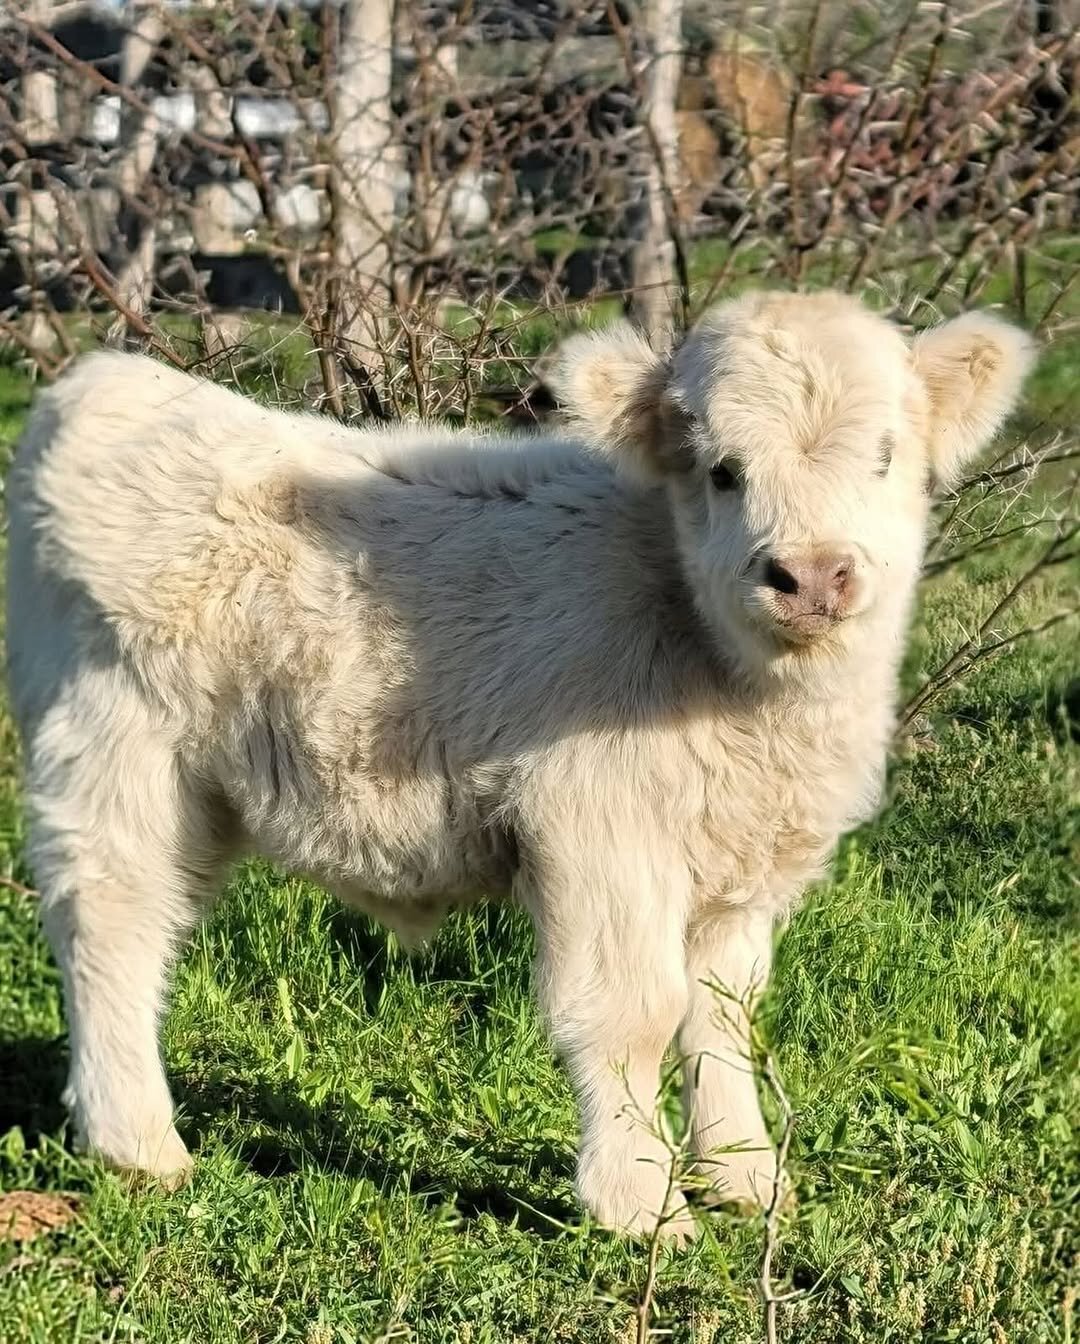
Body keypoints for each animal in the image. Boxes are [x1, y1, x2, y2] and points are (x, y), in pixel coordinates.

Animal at [5, 289, 1033, 1238]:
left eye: (886, 457)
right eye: (722, 472)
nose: (812, 575)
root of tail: (109, 384)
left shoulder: (738, 864)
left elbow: (723, 1016)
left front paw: (746, 1179)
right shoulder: (601, 829)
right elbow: (633, 1013)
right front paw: (642, 1202)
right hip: (114, 746)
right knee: (114, 922)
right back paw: (138, 1144)